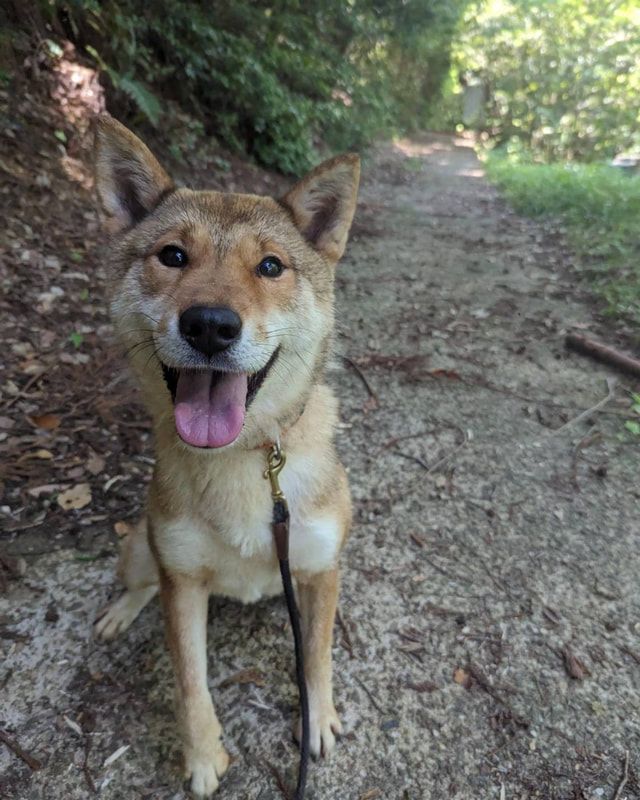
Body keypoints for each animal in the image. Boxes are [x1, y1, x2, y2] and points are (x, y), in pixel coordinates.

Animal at [93, 115, 360, 796]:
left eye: (270, 266)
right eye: (172, 255)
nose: (210, 325)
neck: (242, 458)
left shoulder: (320, 569)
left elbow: (316, 653)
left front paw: (317, 718)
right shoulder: (182, 580)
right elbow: (190, 682)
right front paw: (203, 756)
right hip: (143, 546)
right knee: (140, 581)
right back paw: (120, 613)